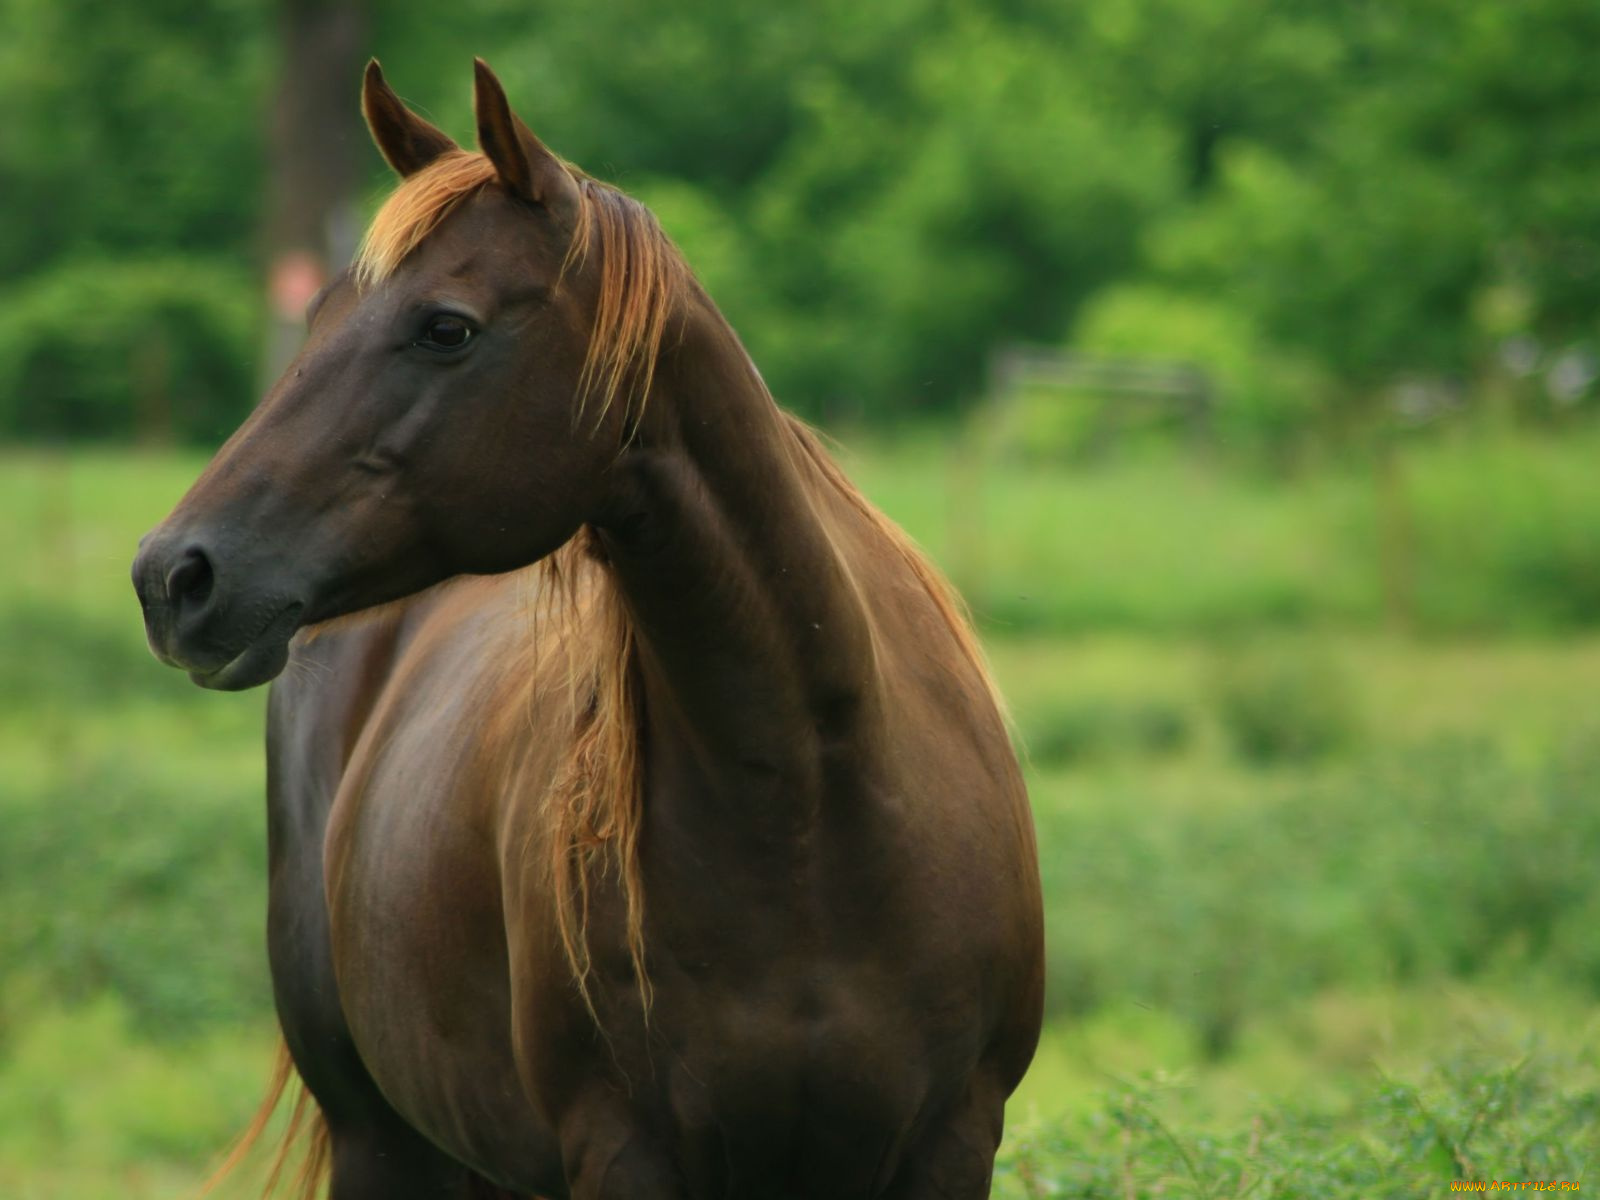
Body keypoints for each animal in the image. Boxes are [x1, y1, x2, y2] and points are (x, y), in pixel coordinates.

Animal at [131, 58, 1043, 1200]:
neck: (809, 809)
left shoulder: (951, 1143)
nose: (174, 575)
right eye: (320, 314)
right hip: (380, 1140)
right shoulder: (622, 1151)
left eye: (446, 327)